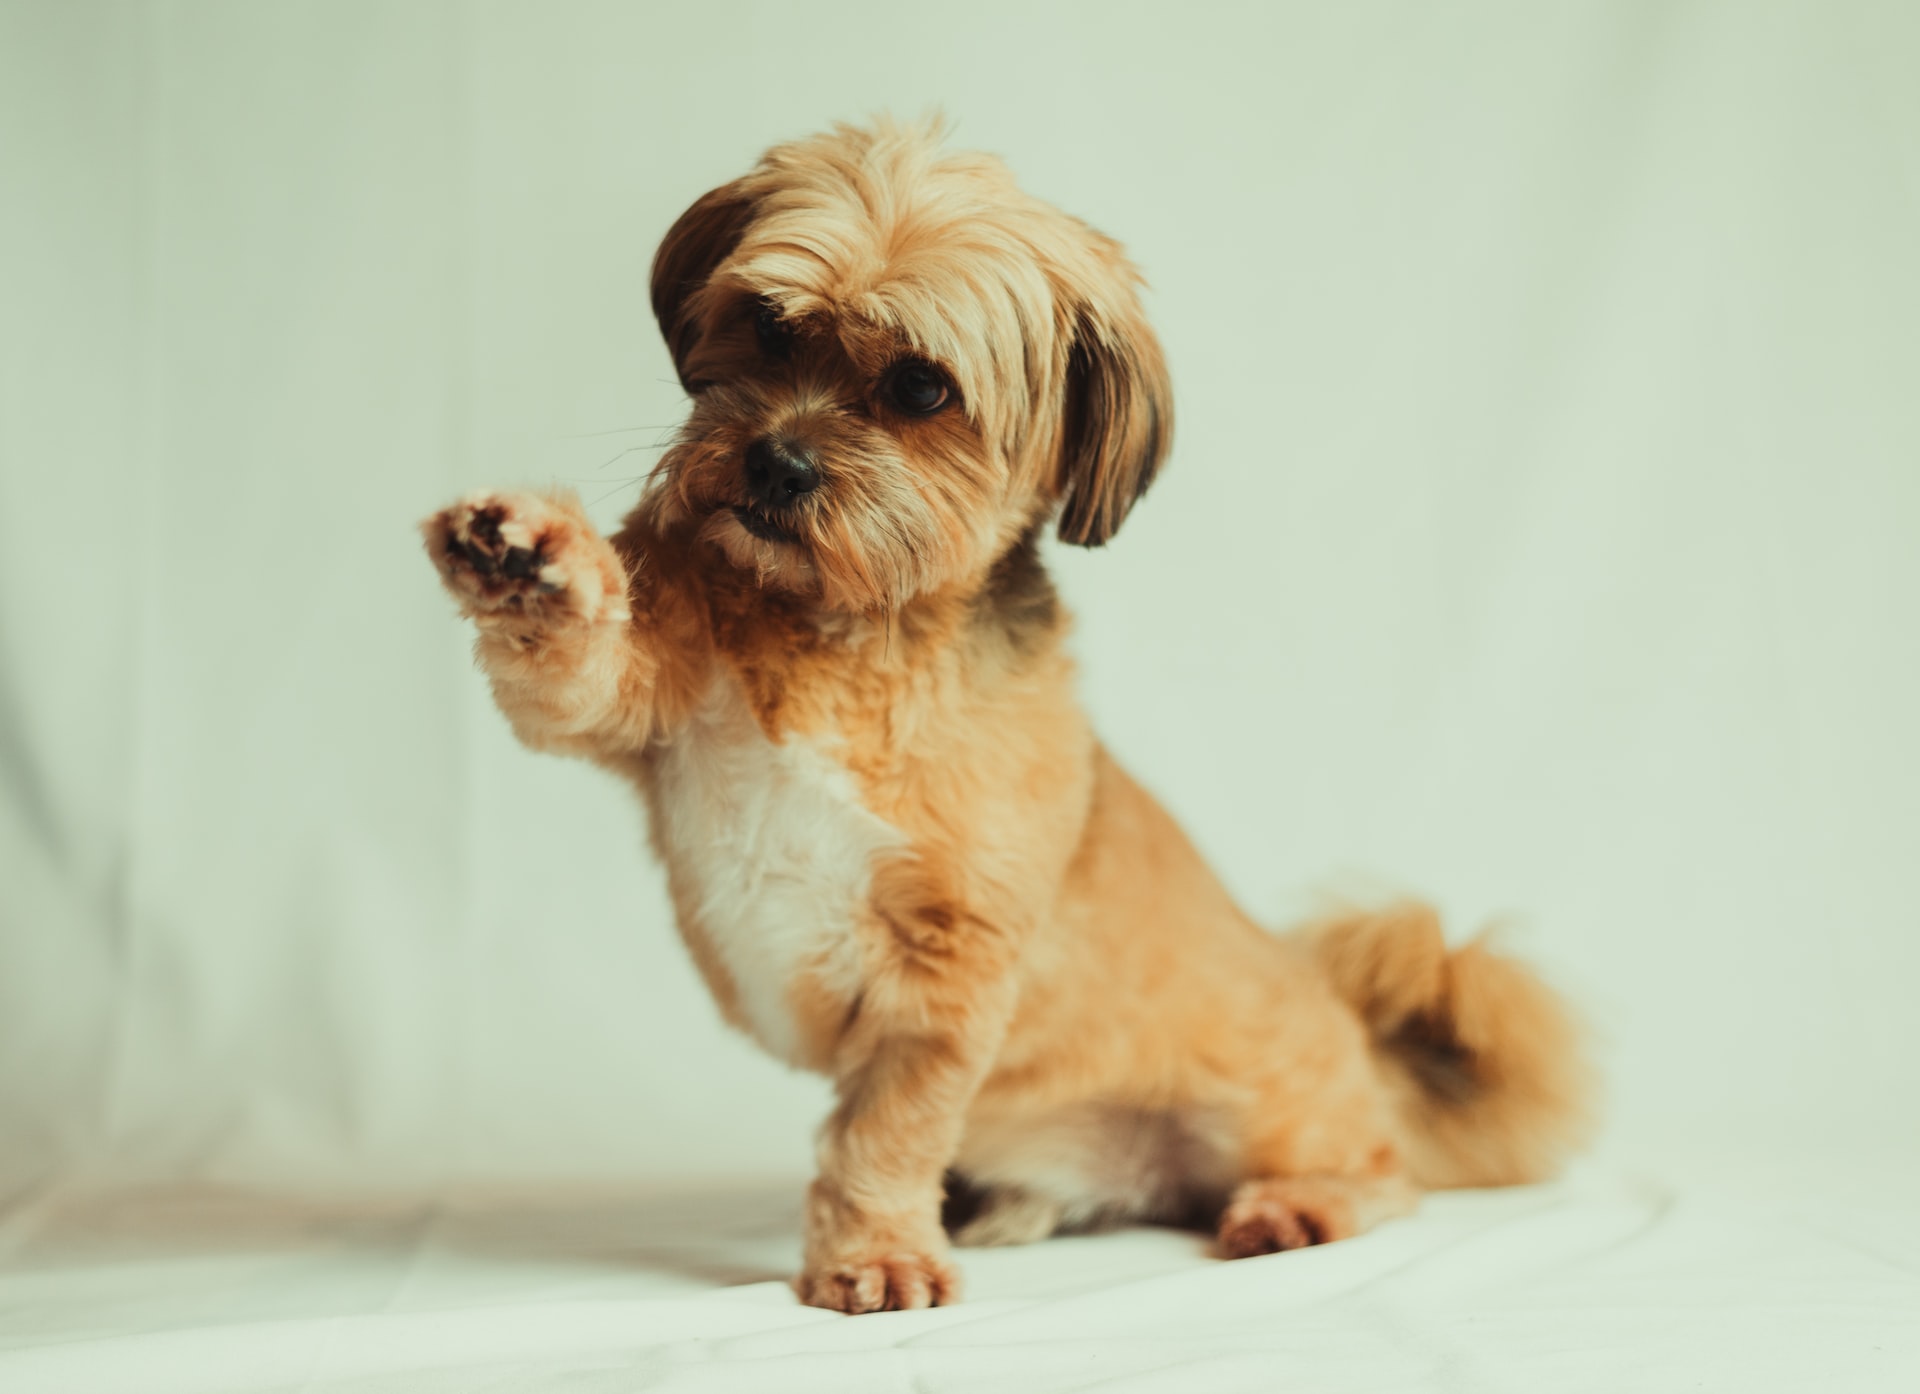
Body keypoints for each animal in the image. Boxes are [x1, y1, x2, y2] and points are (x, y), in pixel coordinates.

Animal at [424, 114, 1589, 1313]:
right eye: (766, 325)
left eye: (921, 388)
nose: (776, 461)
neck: (845, 632)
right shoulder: (644, 703)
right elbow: (577, 663)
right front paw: (524, 554)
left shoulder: (946, 971)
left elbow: (882, 1134)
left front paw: (875, 1256)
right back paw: (1009, 1208)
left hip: (1282, 1102)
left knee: (1382, 1172)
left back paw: (1298, 1209)